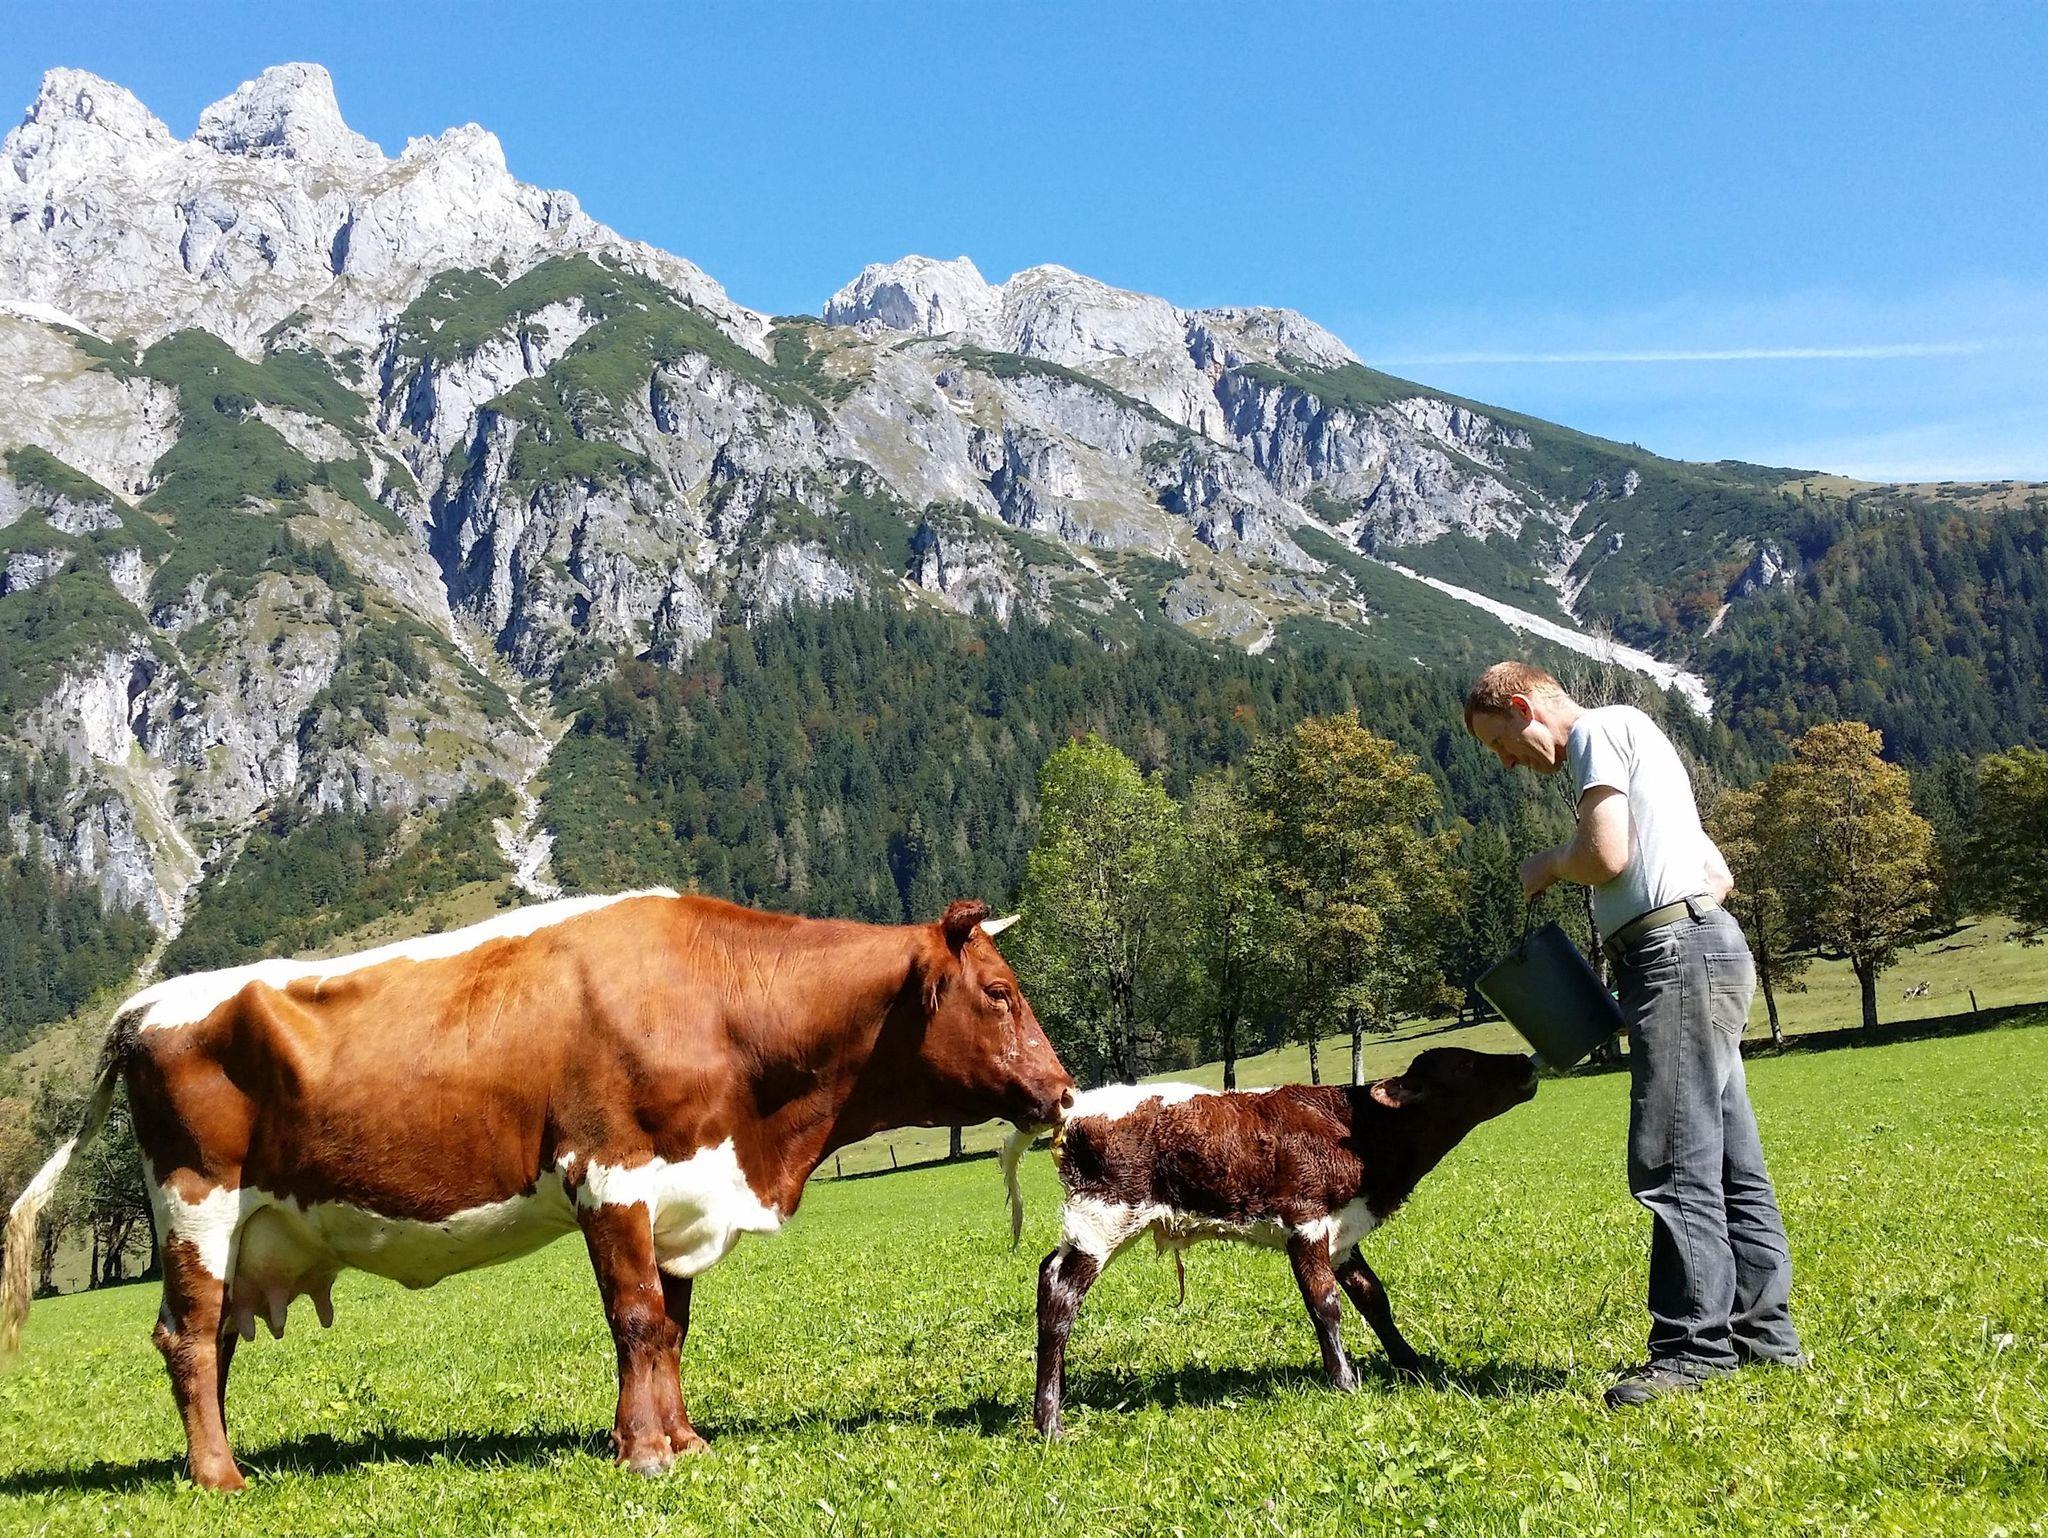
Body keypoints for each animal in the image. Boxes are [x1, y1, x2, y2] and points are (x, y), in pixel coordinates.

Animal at [1, 890, 1072, 1490]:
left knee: (212, 1337)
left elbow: (671, 1326)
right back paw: (220, 1478)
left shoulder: (680, 1192)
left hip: (232, 1229)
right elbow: (634, 1318)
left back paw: (218, 1462)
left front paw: (683, 1439)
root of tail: (145, 1005)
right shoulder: (608, 1173)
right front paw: (645, 1455)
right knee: (185, 1339)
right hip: (196, 1200)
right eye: (1001, 993)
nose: (1062, 1092)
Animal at [1008, 1047, 1538, 1437]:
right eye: (1465, 1064)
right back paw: (1049, 1422)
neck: (1360, 1132)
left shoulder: (1343, 1235)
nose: (1525, 1062)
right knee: (1060, 1296)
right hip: (1102, 1219)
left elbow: (1374, 1298)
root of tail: (1079, 1107)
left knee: (1046, 1272)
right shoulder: (1306, 1224)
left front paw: (1412, 1366)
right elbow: (1326, 1304)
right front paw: (1344, 1382)